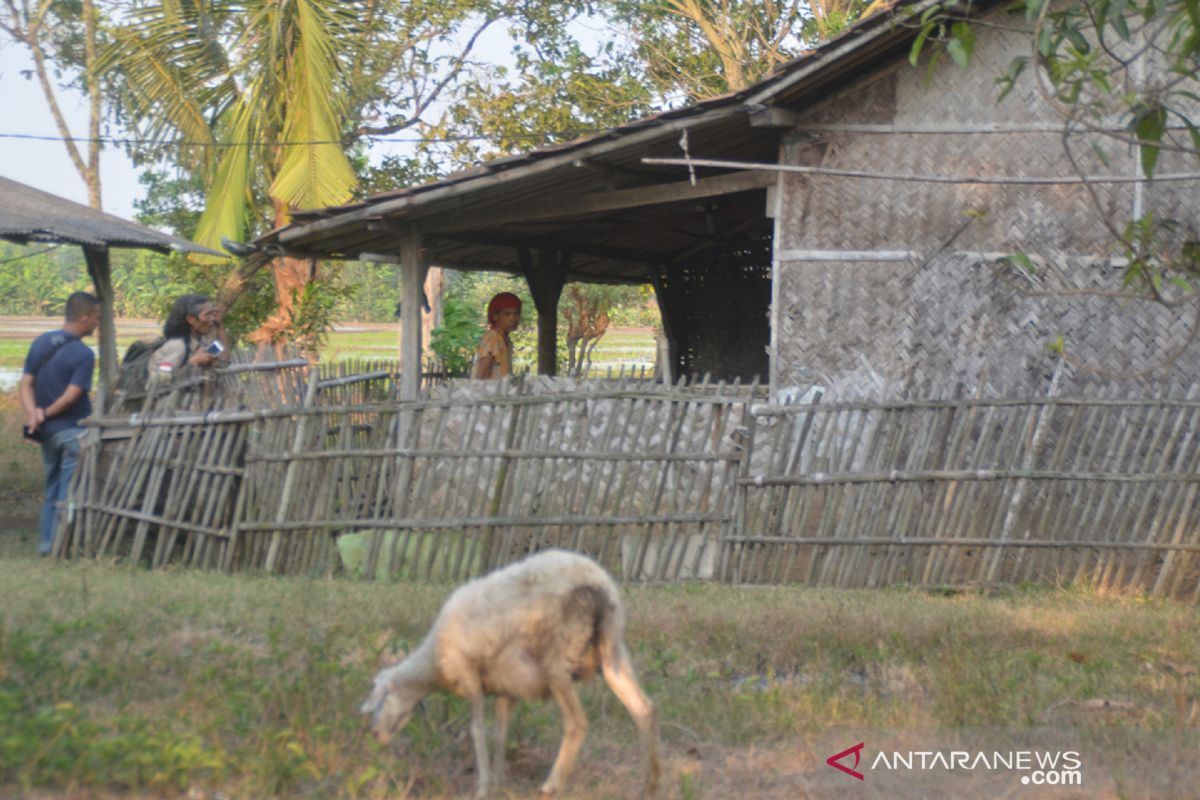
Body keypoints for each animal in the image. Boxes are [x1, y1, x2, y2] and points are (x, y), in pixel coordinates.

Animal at [360, 551, 662, 800]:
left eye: (380, 699)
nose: (375, 735)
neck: (433, 664)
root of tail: (597, 584)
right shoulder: (506, 689)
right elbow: (500, 734)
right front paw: (496, 783)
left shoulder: (470, 677)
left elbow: (477, 731)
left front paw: (483, 788)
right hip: (611, 650)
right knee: (644, 709)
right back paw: (650, 785)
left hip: (557, 659)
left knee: (577, 723)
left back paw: (551, 786)